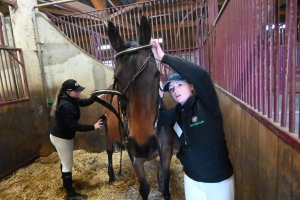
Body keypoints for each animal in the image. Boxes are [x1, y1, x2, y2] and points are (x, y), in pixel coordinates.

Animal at [98, 16, 173, 199]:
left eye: (156, 74)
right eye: (117, 78)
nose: (143, 145)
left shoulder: (166, 153)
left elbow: (165, 184)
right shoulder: (135, 157)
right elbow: (144, 188)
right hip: (107, 130)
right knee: (109, 150)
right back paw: (111, 175)